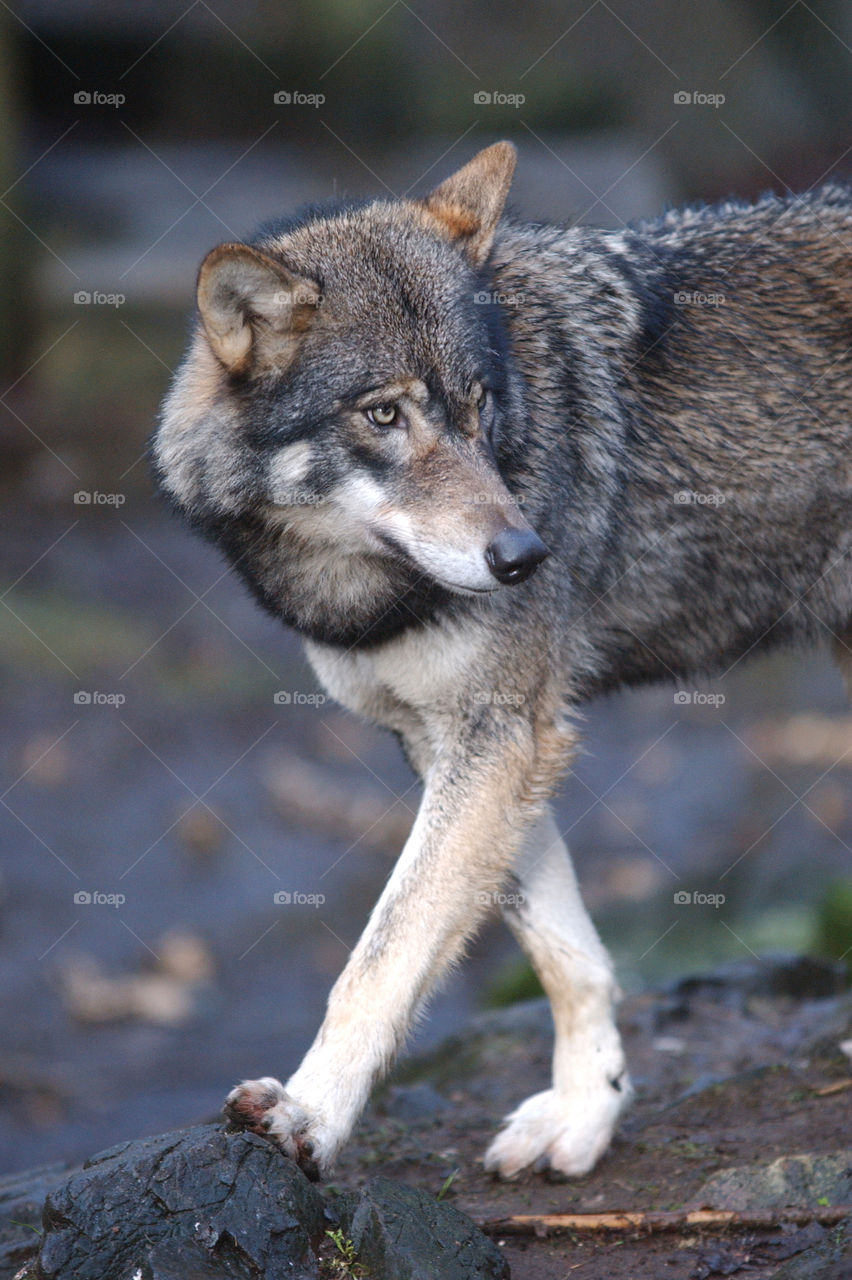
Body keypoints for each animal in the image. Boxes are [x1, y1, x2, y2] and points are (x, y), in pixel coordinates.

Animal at [154, 141, 852, 1180]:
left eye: (479, 403)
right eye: (384, 415)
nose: (526, 556)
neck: (357, 587)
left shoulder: (503, 737)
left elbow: (383, 957)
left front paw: (309, 1113)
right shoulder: (462, 743)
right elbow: (566, 954)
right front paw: (589, 1108)